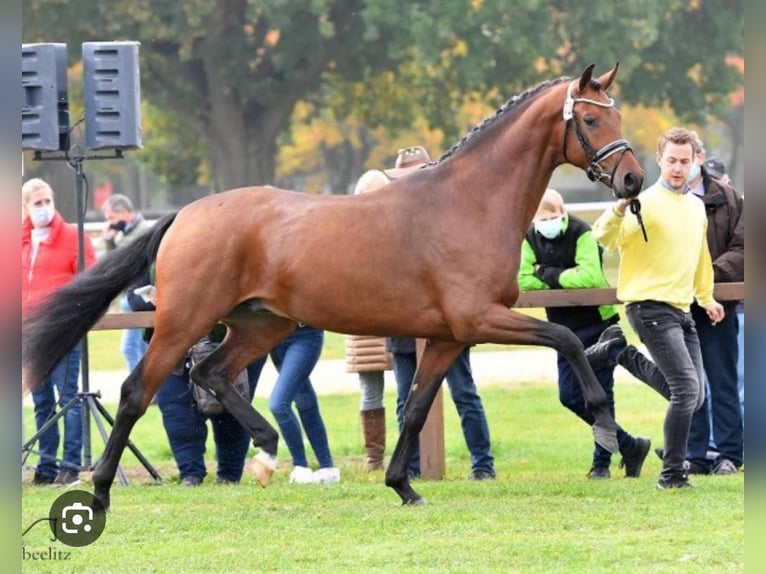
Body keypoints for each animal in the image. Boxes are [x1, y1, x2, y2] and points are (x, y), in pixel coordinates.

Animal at [22, 64, 640, 512]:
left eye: (614, 116)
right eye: (590, 121)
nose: (632, 179)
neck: (470, 202)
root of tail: (185, 215)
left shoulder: (447, 337)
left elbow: (416, 408)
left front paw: (403, 486)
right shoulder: (479, 319)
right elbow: (566, 337)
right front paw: (610, 431)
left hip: (263, 324)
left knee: (211, 373)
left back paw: (268, 447)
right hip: (183, 322)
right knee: (136, 392)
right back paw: (102, 490)